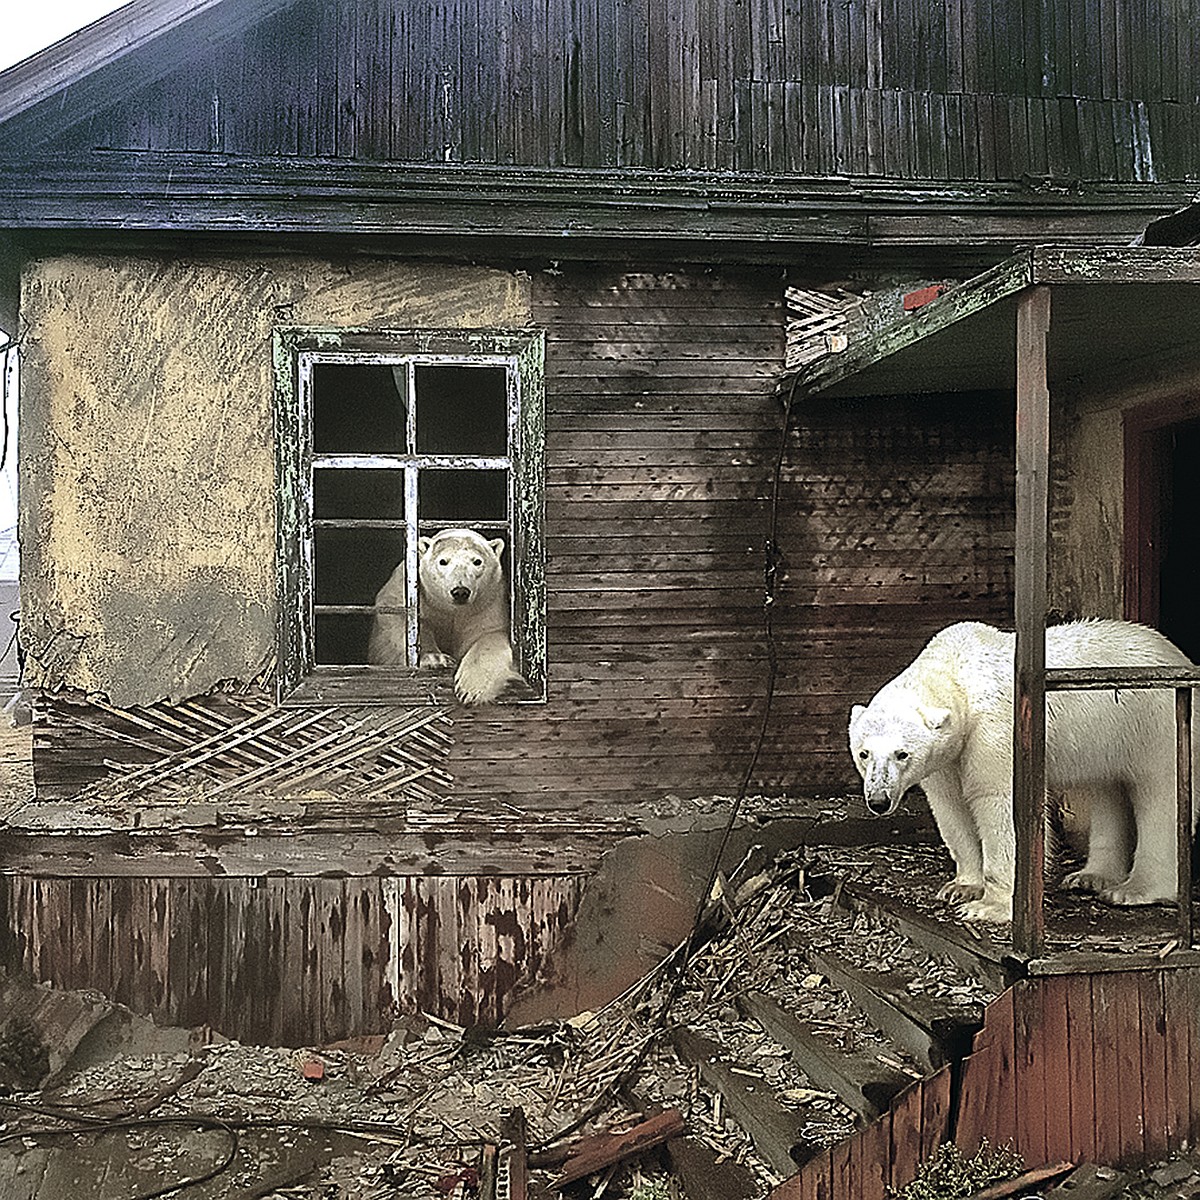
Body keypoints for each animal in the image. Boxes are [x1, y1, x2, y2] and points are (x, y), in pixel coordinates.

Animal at [367, 525, 528, 700]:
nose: (460, 591)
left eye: (477, 561)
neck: (452, 610)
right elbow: (402, 620)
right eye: (443, 561)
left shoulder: (488, 603)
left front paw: (471, 689)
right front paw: (436, 659)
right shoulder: (406, 588)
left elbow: (489, 635)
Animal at [849, 619, 1195, 916]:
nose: (878, 801)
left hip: (1155, 720)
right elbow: (951, 808)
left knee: (1161, 793)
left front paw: (989, 907)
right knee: (1106, 787)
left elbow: (1000, 803)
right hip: (1108, 736)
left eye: (902, 754)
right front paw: (961, 887)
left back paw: (1135, 890)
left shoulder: (995, 730)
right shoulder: (948, 756)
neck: (957, 674)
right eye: (864, 753)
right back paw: (1091, 876)